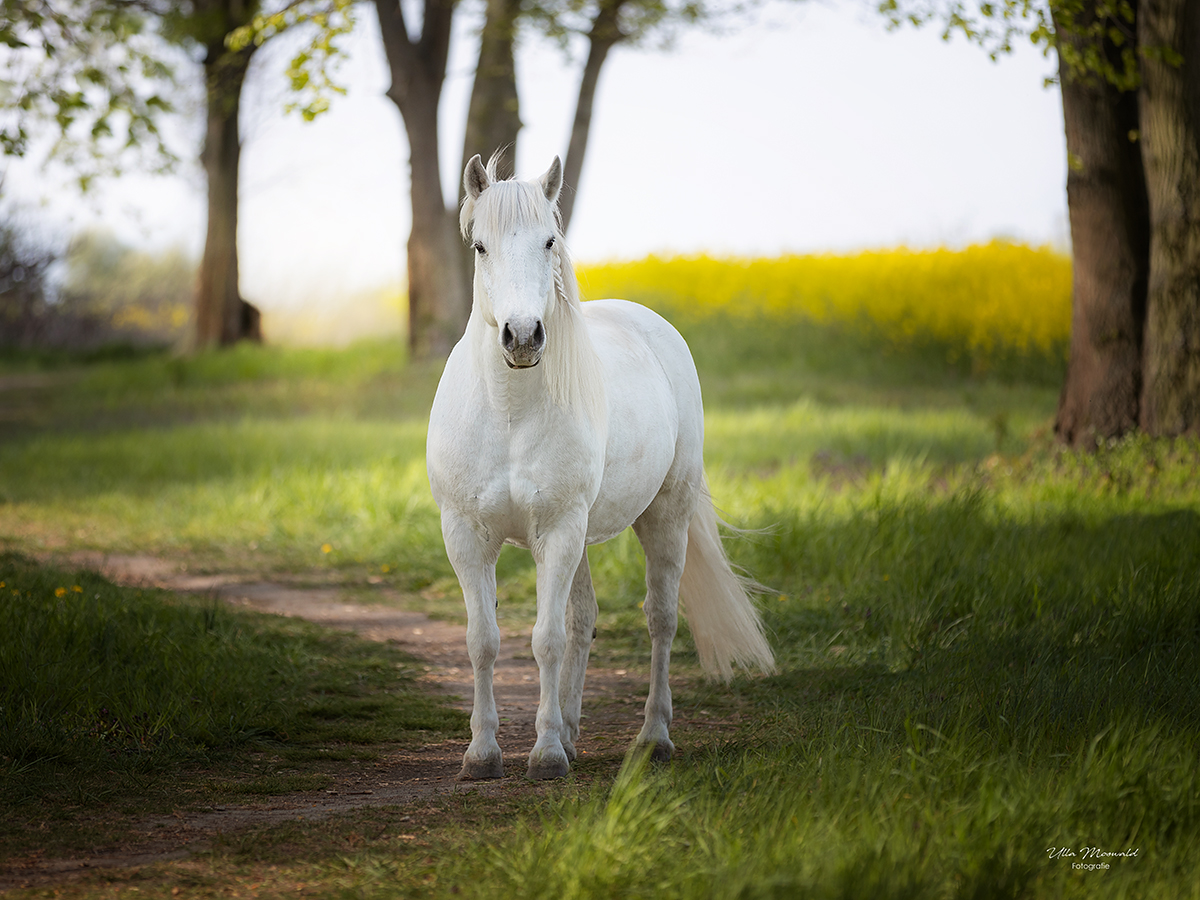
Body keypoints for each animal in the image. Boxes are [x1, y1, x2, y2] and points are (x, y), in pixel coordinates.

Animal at [427, 157, 772, 782]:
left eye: (548, 241)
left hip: (663, 515)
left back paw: (652, 738)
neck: (509, 413)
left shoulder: (559, 530)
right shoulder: (466, 534)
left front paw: (544, 755)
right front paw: (483, 753)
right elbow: (483, 639)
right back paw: (571, 733)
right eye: (481, 246)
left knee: (660, 619)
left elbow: (546, 640)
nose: (522, 336)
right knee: (583, 619)